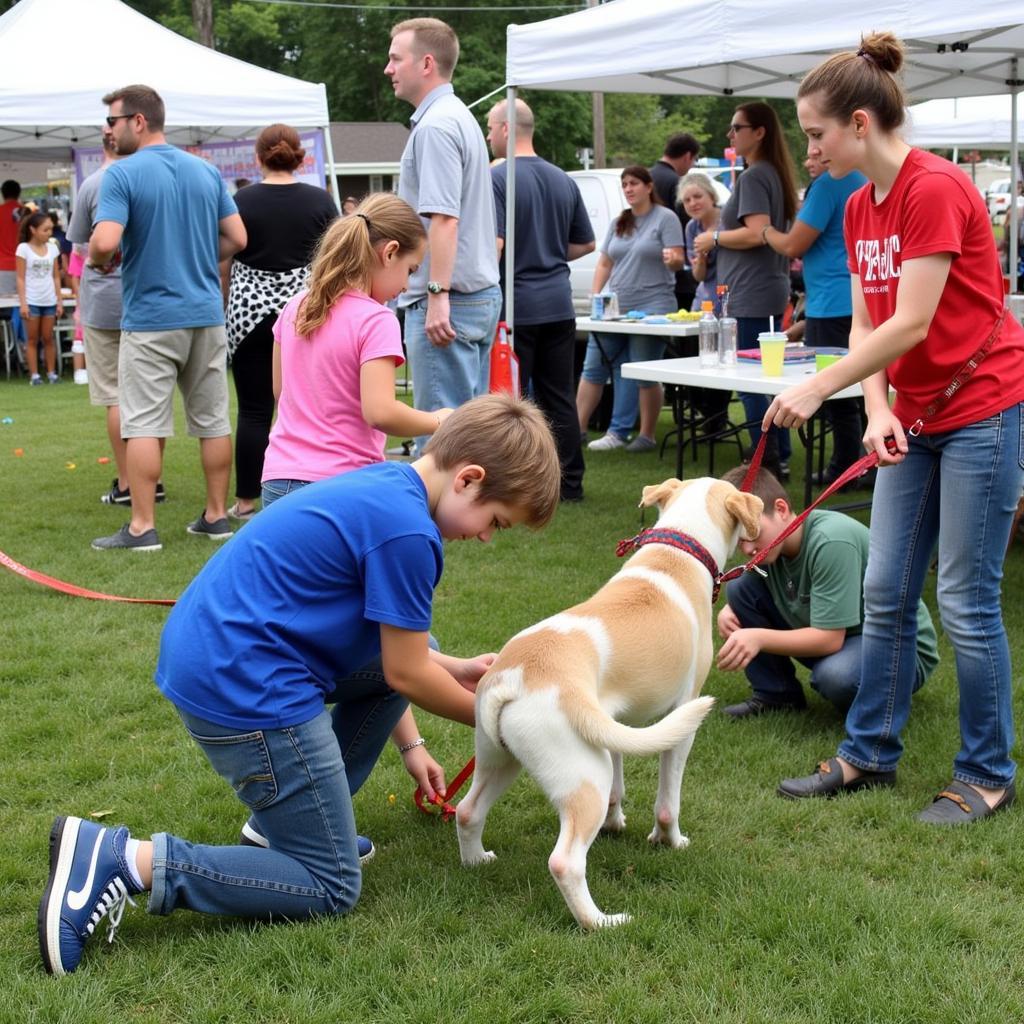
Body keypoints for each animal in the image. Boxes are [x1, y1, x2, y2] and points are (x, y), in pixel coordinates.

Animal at [456, 475, 761, 933]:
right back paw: (601, 922)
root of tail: (519, 674)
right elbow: (668, 802)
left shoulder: (613, 722)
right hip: (584, 778)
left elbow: (621, 776)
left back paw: (476, 861)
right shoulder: (680, 719)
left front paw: (616, 824)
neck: (675, 553)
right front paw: (669, 841)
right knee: (564, 862)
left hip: (500, 758)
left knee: (467, 811)